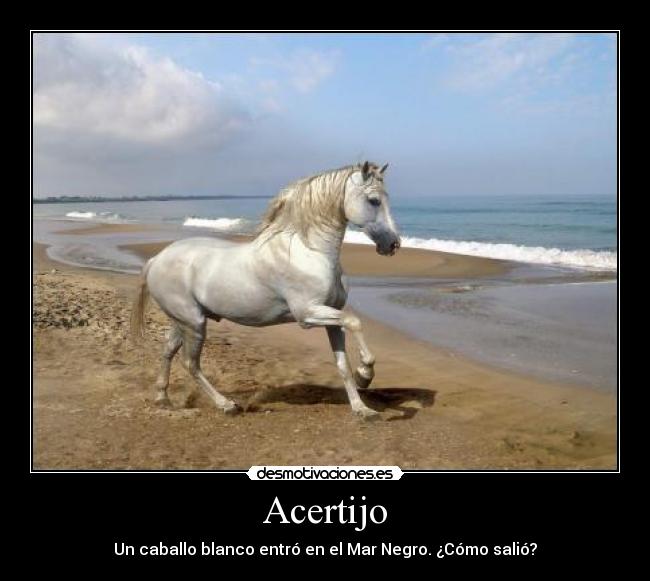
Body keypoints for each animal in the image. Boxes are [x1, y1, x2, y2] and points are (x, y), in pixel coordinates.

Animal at [130, 161, 401, 420]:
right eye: (374, 200)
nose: (393, 244)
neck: (308, 251)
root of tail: (157, 259)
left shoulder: (331, 317)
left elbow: (343, 364)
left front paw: (362, 409)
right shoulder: (307, 314)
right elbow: (355, 322)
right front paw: (365, 375)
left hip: (183, 321)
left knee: (168, 351)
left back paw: (163, 398)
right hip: (195, 323)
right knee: (191, 363)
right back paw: (227, 405)